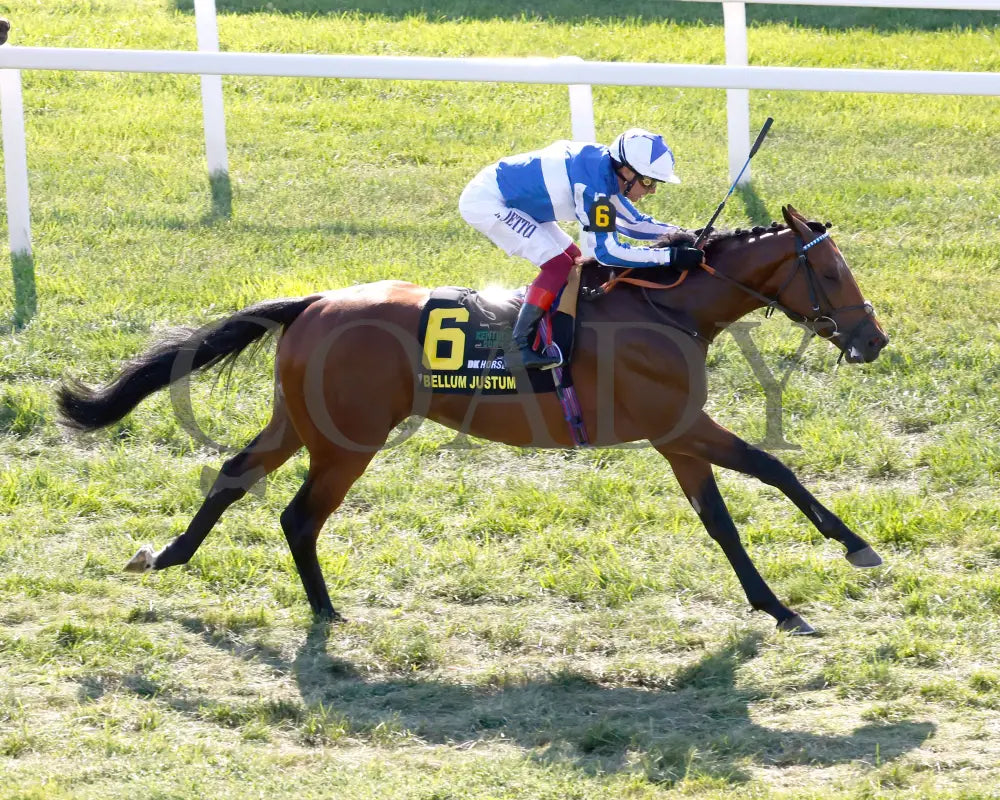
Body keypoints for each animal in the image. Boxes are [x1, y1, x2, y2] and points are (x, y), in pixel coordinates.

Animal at [58, 205, 889, 634]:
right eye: (831, 270)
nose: (873, 338)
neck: (669, 308)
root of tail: (313, 302)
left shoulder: (677, 438)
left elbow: (720, 520)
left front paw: (775, 603)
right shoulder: (679, 426)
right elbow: (773, 468)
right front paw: (850, 549)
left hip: (298, 422)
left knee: (234, 474)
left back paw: (168, 555)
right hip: (346, 441)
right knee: (298, 516)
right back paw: (327, 612)